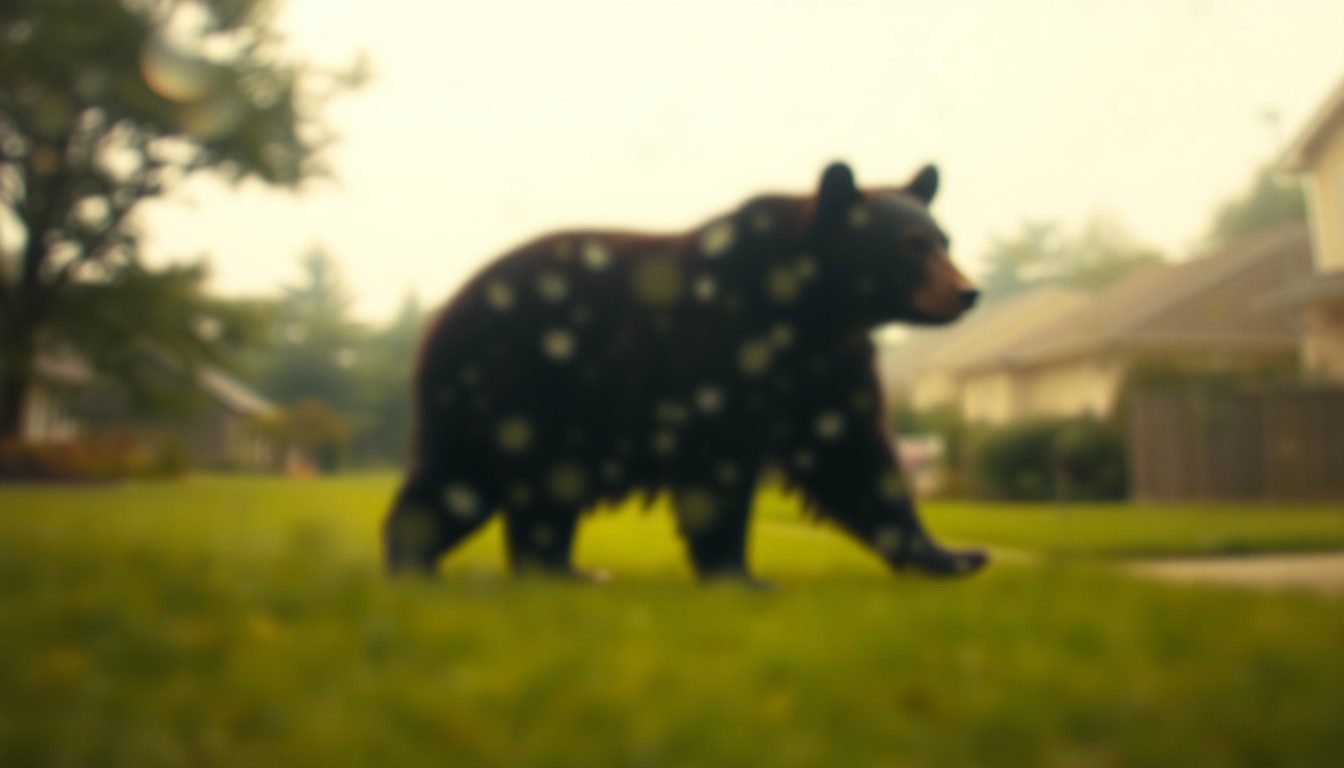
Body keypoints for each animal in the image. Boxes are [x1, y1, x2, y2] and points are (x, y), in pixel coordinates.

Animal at [384, 162, 988, 584]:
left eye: (944, 240)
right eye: (909, 246)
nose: (967, 292)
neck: (808, 306)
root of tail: (440, 319)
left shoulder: (828, 368)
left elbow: (853, 454)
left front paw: (954, 554)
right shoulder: (723, 345)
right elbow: (717, 456)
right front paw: (739, 574)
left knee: (480, 480)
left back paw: (550, 570)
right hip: (521, 388)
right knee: (493, 481)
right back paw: (434, 565)